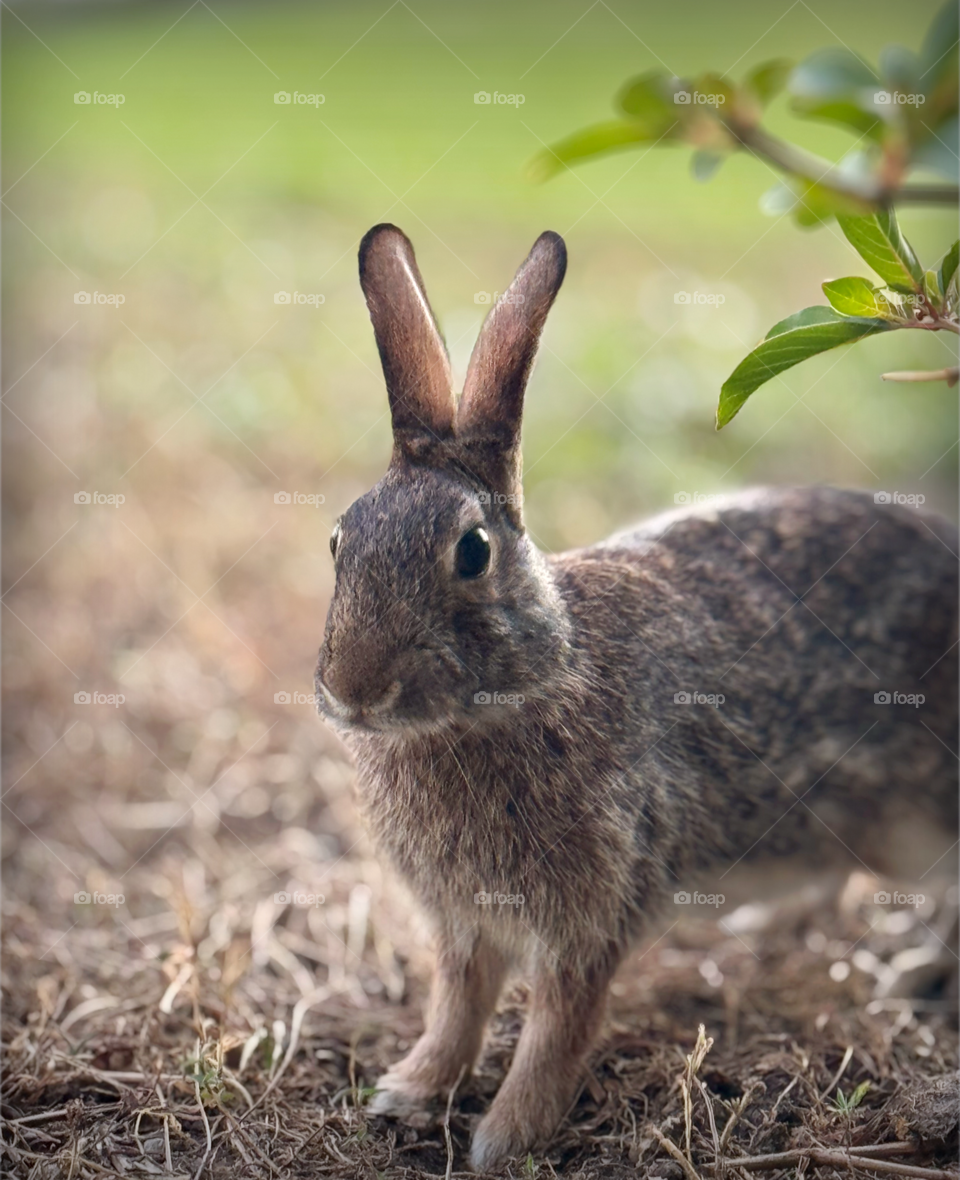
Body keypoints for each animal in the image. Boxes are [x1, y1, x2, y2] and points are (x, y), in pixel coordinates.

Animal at [314, 223, 959, 1171]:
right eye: (339, 539)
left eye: (472, 551)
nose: (355, 689)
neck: (540, 674)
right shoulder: (463, 928)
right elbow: (456, 1009)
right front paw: (409, 1091)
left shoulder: (589, 917)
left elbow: (556, 1032)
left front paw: (503, 1138)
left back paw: (914, 975)